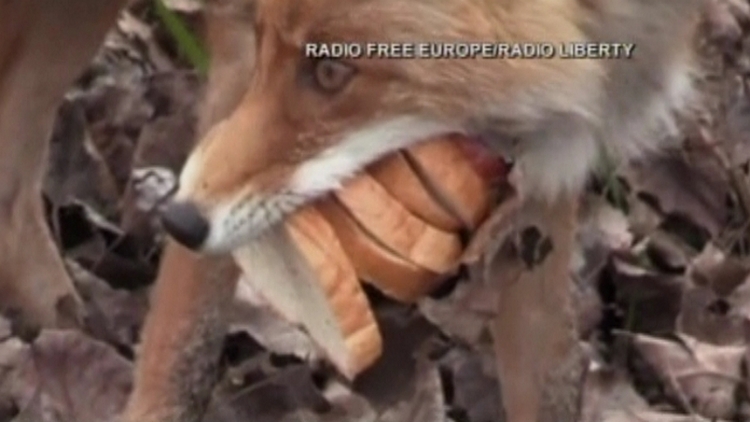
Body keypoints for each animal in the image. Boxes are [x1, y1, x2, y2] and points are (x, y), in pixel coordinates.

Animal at [122, 0, 704, 422]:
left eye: (330, 70)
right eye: (266, 37)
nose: (179, 221)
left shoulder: (546, 182)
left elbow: (547, 378)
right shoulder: (240, 60)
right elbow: (183, 349)